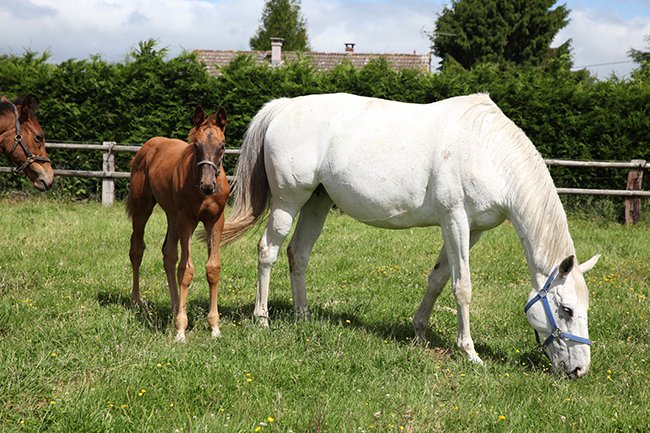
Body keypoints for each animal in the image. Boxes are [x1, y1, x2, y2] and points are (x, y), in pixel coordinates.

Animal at [127, 105, 230, 342]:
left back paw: (175, 307)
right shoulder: (187, 220)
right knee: (137, 249)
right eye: (196, 145)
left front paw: (215, 327)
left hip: (171, 216)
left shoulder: (216, 221)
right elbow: (186, 270)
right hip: (143, 208)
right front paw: (181, 329)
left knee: (168, 253)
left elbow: (213, 268)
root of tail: (147, 147)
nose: (208, 185)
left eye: (222, 146)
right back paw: (137, 300)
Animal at [221, 92, 600, 378]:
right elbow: (462, 288)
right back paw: (262, 319)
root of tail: (283, 106)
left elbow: (438, 280)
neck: (488, 151)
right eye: (566, 309)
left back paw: (302, 317)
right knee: (267, 251)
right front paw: (470, 352)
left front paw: (419, 331)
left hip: (317, 202)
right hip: (288, 202)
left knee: (298, 254)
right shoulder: (455, 220)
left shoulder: (472, 230)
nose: (579, 370)